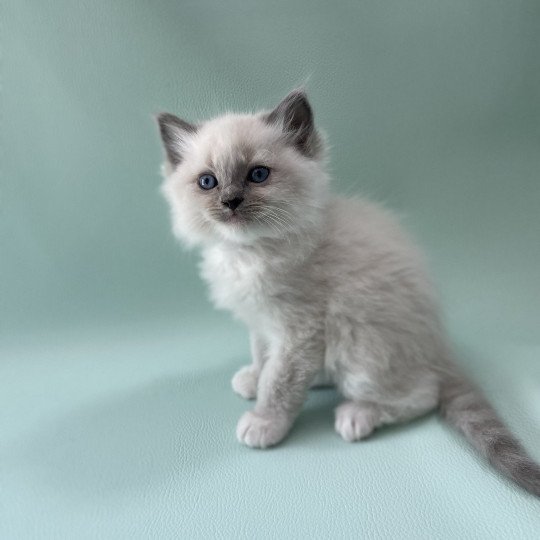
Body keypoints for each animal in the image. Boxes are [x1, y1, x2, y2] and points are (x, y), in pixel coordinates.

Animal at [157, 88, 540, 498]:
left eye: (257, 175)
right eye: (208, 182)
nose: (230, 201)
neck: (250, 252)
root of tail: (440, 349)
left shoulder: (299, 333)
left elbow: (280, 383)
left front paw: (264, 422)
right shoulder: (261, 323)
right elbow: (262, 357)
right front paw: (254, 378)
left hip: (359, 348)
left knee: (423, 395)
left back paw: (357, 415)